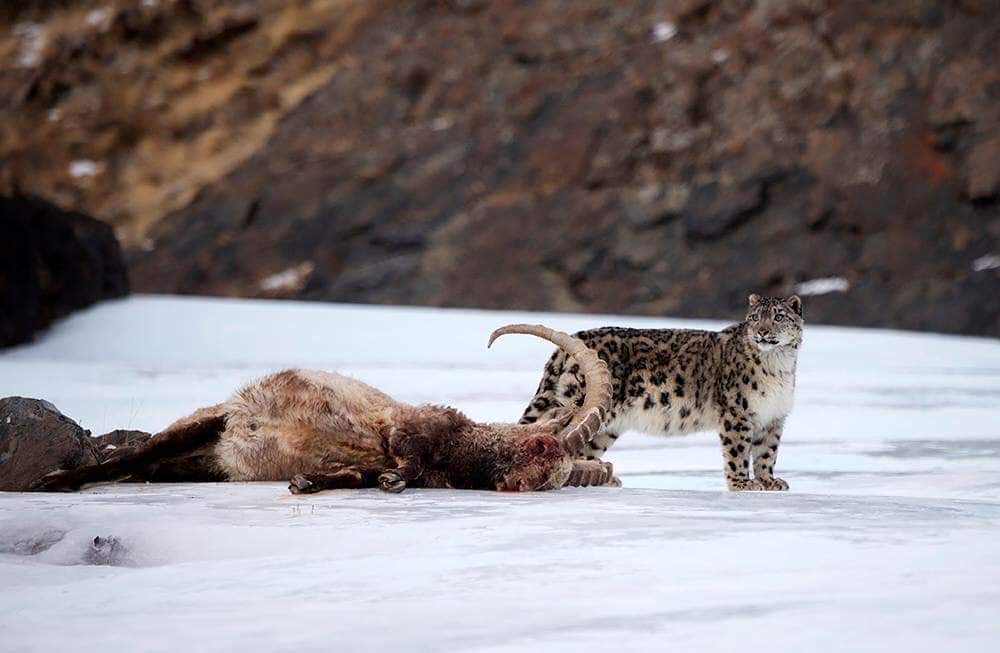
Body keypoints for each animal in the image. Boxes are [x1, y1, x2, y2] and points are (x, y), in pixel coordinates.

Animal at [520, 296, 800, 488]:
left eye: (778, 317)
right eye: (755, 317)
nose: (762, 331)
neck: (778, 366)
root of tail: (570, 343)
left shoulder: (774, 417)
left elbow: (767, 453)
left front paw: (770, 482)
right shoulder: (737, 413)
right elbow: (738, 452)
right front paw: (742, 484)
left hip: (605, 428)